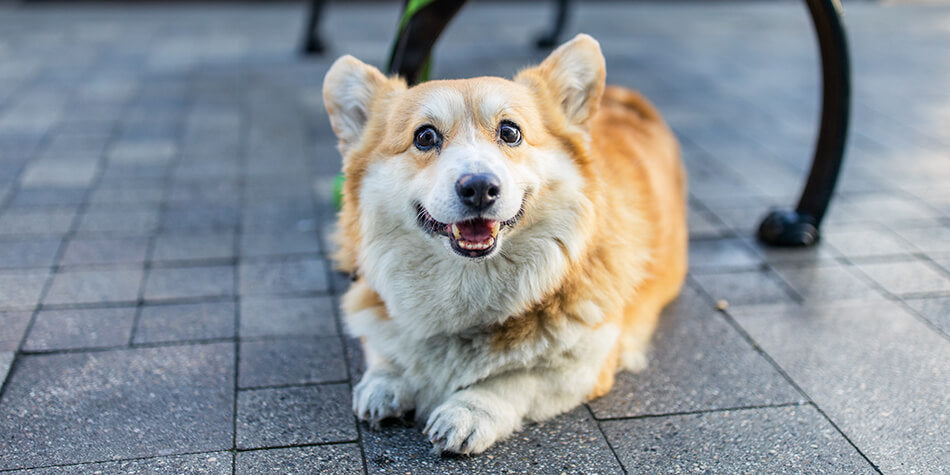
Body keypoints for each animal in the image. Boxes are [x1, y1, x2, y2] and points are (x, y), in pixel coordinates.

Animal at [324, 34, 688, 458]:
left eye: (510, 132)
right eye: (425, 137)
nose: (479, 187)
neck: (468, 282)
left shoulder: (587, 363)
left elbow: (517, 378)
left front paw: (468, 411)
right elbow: (384, 348)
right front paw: (385, 382)